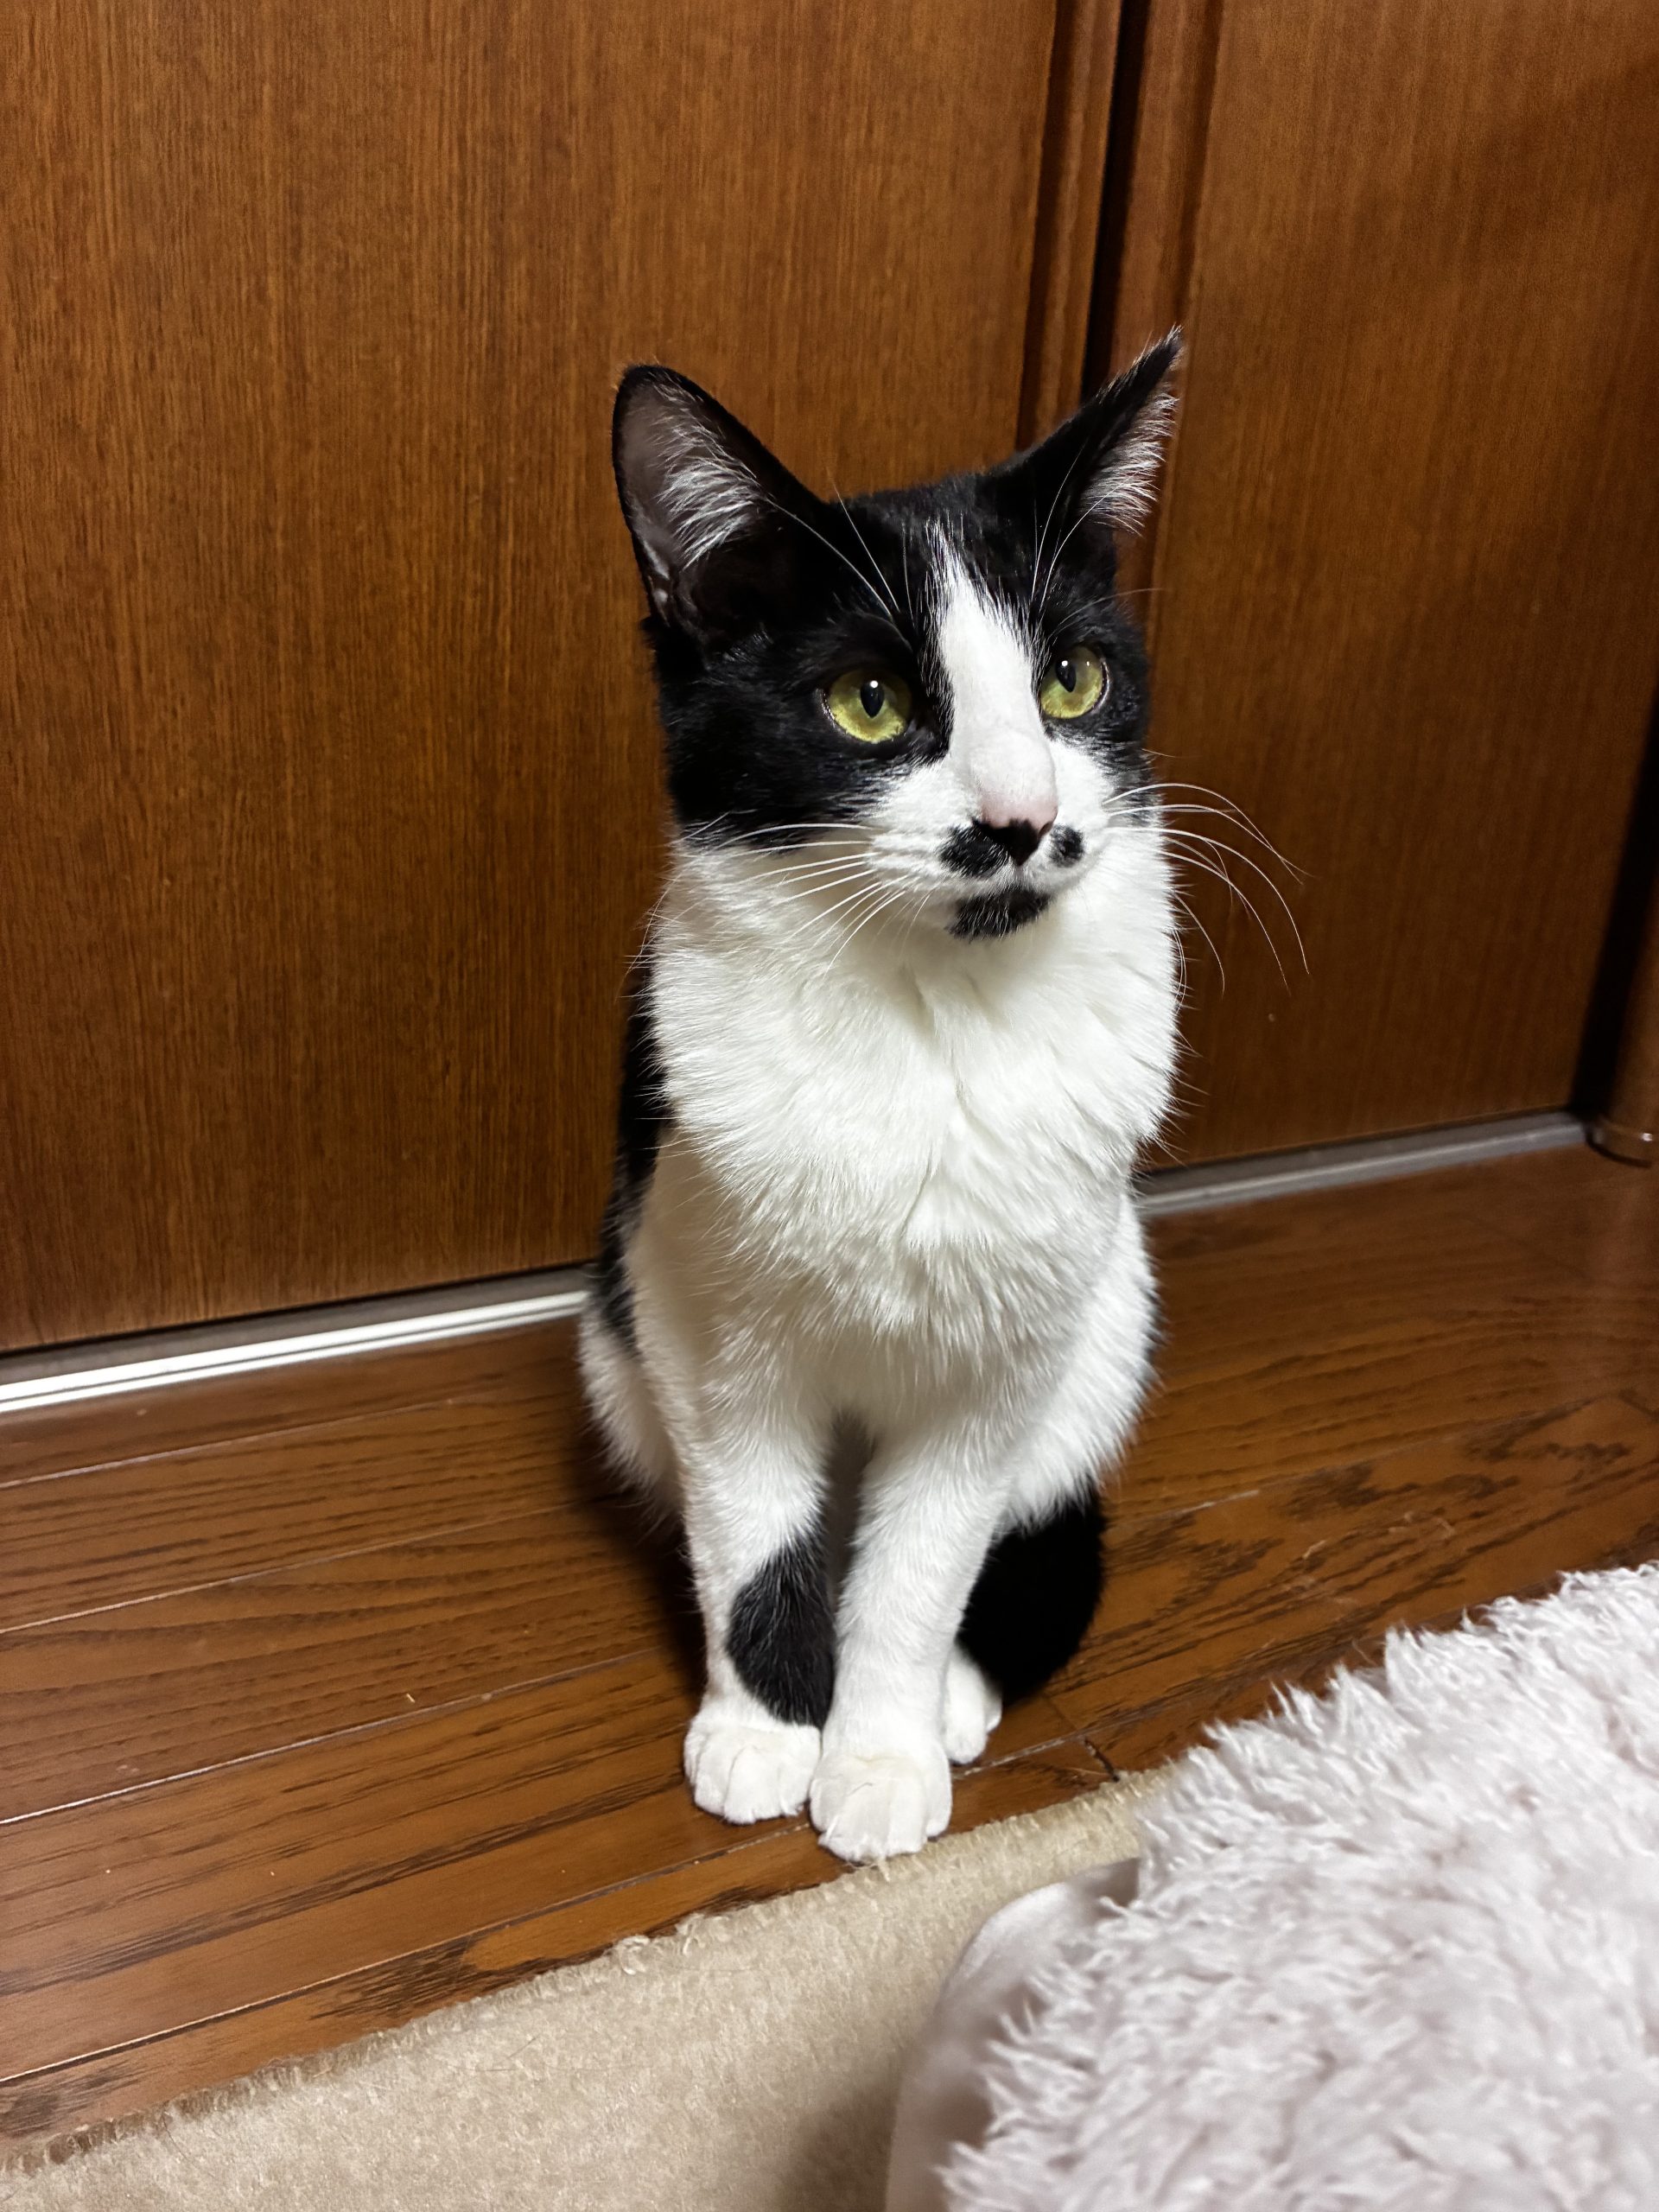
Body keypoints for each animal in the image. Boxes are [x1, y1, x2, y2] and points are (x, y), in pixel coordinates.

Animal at [580, 334, 1182, 1862]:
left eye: (1073, 681)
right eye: (872, 703)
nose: (1025, 819)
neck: (931, 1025)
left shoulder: (1002, 1362)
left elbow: (924, 1565)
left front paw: (882, 1750)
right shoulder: (700, 1314)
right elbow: (753, 1537)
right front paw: (766, 1729)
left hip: (1110, 1317)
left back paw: (955, 1697)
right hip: (613, 1333)